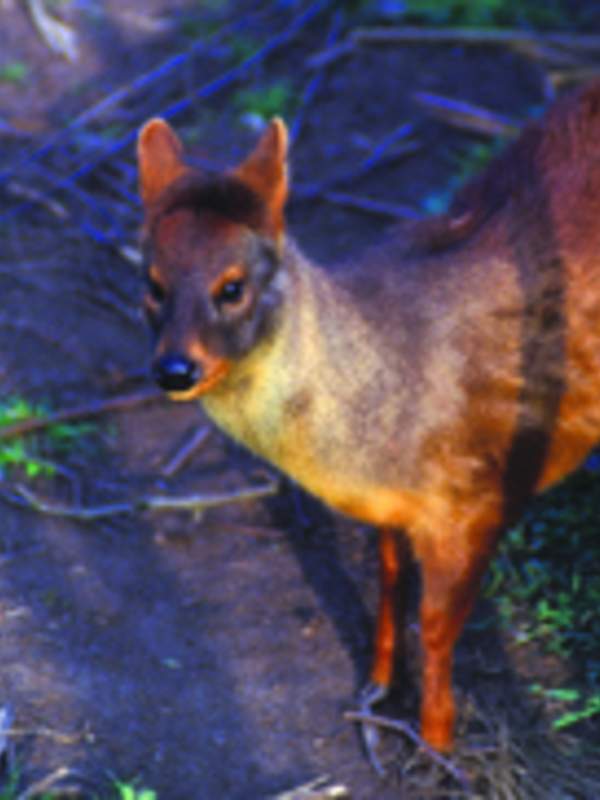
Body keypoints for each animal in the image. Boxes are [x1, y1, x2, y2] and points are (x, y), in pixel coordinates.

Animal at [137, 83, 600, 764]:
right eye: (153, 283)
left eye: (232, 286)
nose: (174, 369)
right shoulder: (393, 506)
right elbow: (388, 583)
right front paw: (378, 688)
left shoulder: (474, 499)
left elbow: (436, 624)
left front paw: (439, 743)